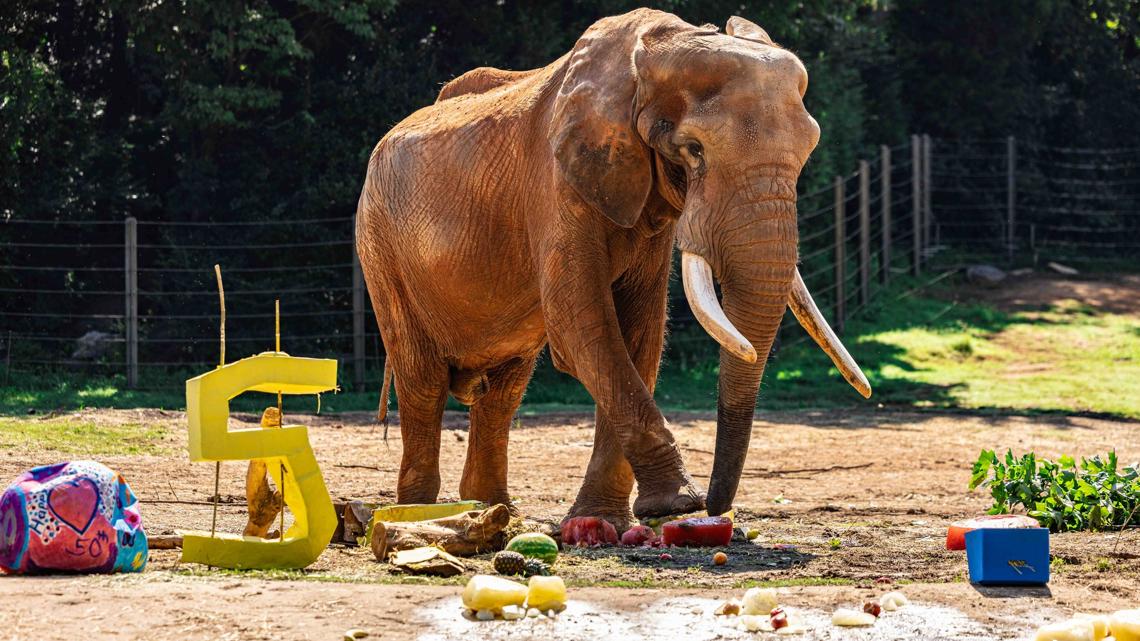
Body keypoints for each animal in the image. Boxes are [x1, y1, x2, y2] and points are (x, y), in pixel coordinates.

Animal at [355, 8, 871, 530]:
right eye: (694, 150)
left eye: (808, 149)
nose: (717, 507)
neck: (656, 50)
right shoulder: (557, 183)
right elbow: (581, 324)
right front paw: (677, 504)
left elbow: (639, 331)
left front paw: (615, 519)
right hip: (379, 244)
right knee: (423, 380)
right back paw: (417, 513)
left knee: (504, 389)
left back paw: (492, 510)